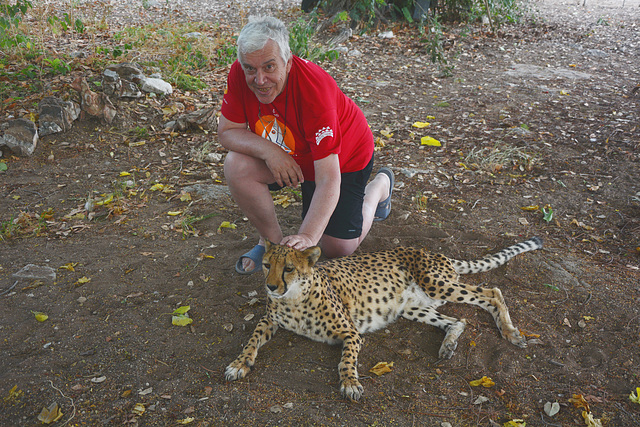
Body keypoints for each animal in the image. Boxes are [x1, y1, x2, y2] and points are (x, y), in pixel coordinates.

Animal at [222, 237, 544, 402]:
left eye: (288, 268)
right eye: (266, 265)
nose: (270, 286)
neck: (293, 299)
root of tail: (430, 252)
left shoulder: (350, 332)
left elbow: (346, 360)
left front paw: (350, 383)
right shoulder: (268, 321)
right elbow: (251, 340)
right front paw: (239, 364)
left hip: (437, 284)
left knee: (492, 292)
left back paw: (511, 332)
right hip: (412, 307)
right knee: (457, 321)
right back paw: (448, 346)